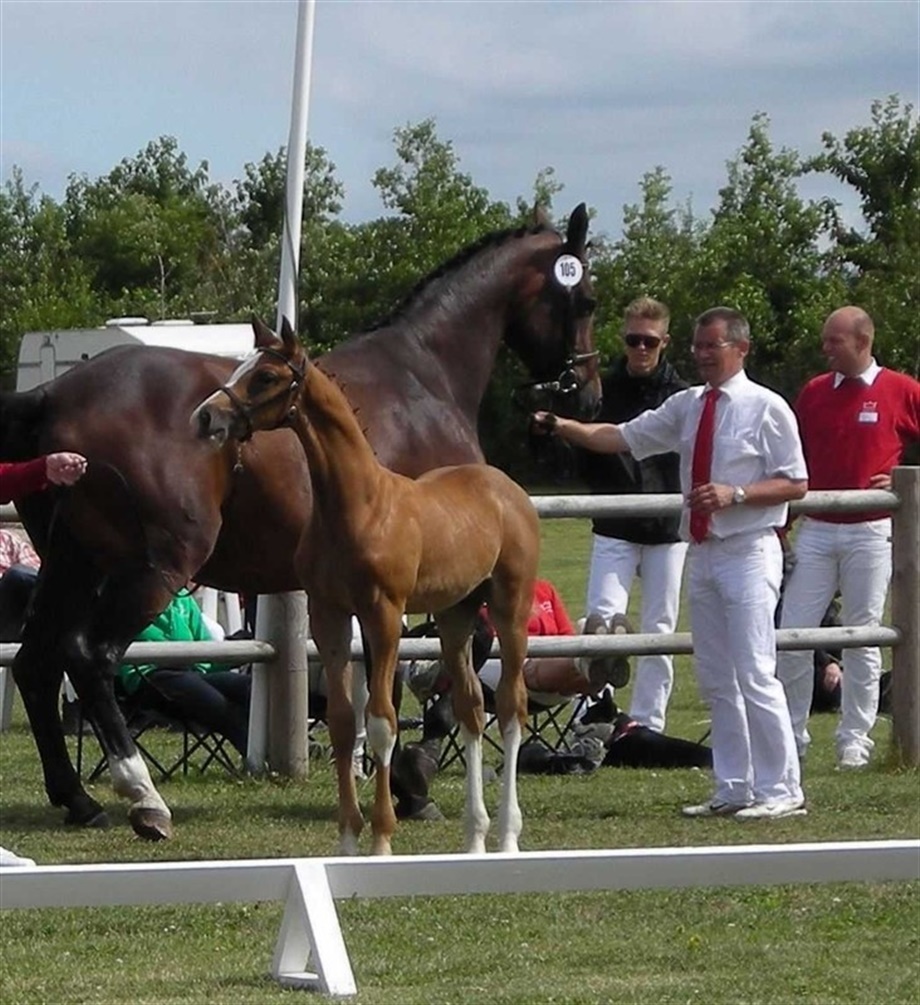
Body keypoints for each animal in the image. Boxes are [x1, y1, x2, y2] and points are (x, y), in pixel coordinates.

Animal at [194, 317, 540, 855]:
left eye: (267, 376)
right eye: (240, 367)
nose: (206, 416)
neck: (359, 506)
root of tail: (508, 490)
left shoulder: (383, 617)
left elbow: (380, 723)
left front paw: (381, 839)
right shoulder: (329, 615)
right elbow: (341, 723)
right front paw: (348, 841)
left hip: (509, 611)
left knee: (510, 708)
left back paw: (506, 838)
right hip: (456, 616)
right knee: (470, 709)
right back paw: (474, 840)